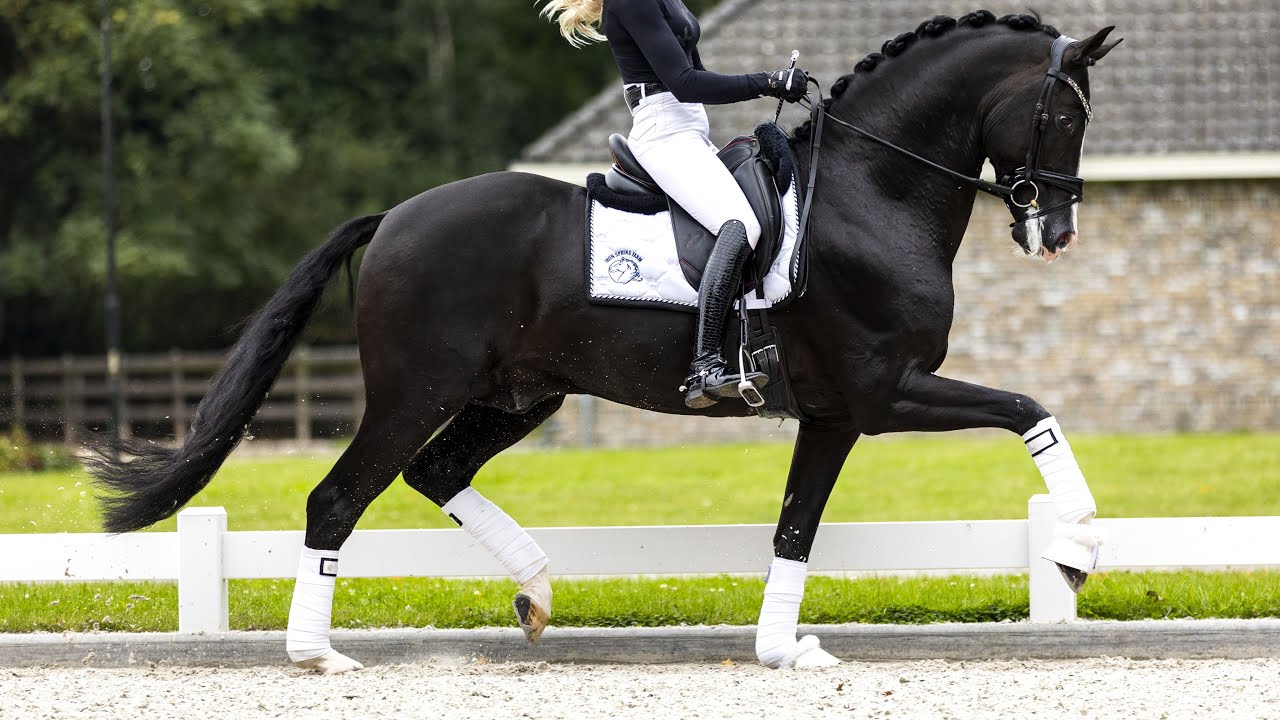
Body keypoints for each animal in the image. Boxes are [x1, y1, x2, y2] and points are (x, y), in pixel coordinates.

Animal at [88, 11, 1121, 673]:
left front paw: (782, 649)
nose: (1058, 231)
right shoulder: (884, 390)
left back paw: (536, 590)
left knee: (434, 473)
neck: (872, 188)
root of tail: (395, 218)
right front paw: (1076, 546)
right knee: (338, 497)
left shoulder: (835, 414)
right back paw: (317, 654)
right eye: (1066, 115)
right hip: (417, 391)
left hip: (519, 393)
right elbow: (1031, 409)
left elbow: (797, 526)